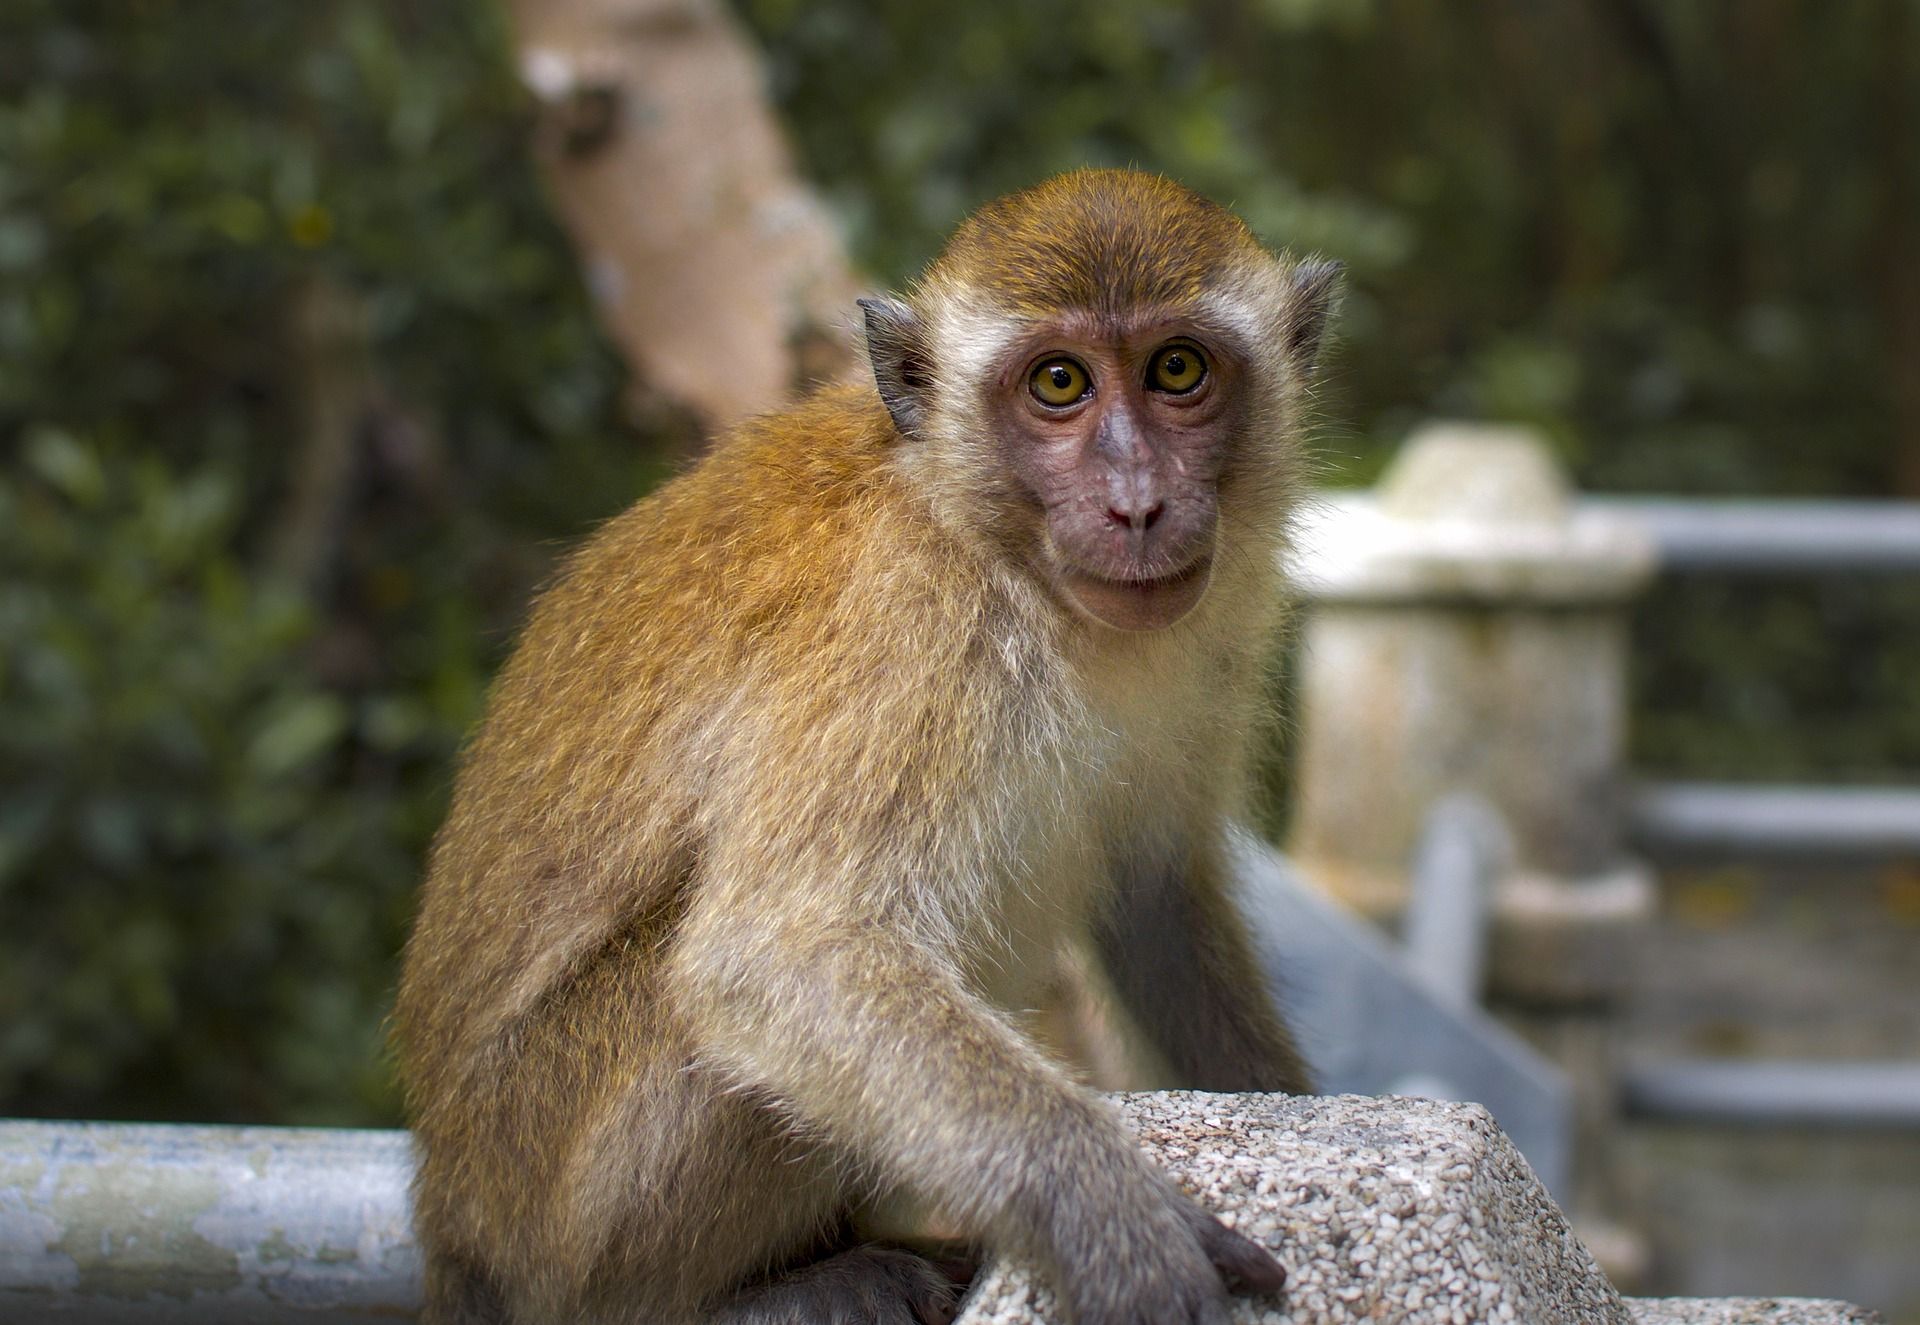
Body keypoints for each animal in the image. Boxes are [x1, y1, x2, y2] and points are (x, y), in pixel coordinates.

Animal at [393, 168, 1341, 1325]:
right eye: (1059, 383)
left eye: (1177, 368)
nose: (1137, 501)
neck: (992, 544)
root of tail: (452, 1221)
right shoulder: (908, 630)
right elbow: (783, 953)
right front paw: (1117, 1223)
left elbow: (1154, 894)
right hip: (561, 1199)